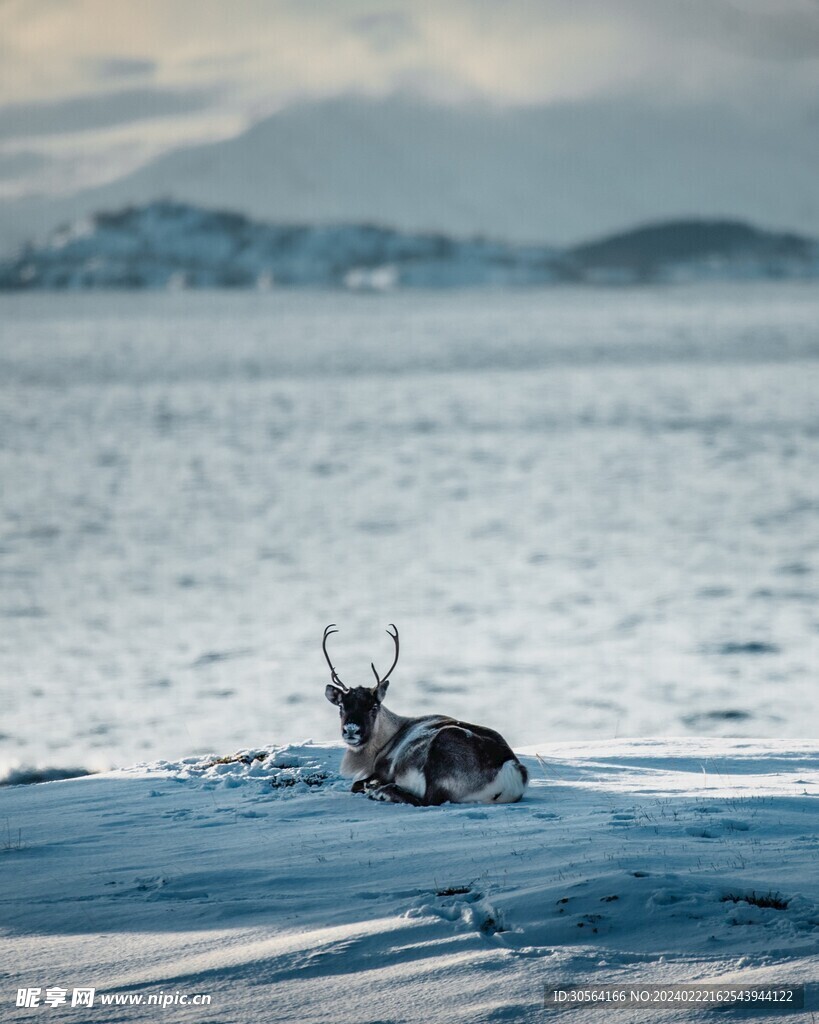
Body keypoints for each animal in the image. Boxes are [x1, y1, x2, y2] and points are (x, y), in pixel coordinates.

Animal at [323, 624, 528, 805]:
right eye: (341, 706)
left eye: (373, 707)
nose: (351, 730)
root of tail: (511, 771)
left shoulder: (384, 769)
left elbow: (356, 784)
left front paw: (371, 787)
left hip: (442, 752)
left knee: (426, 801)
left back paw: (381, 792)